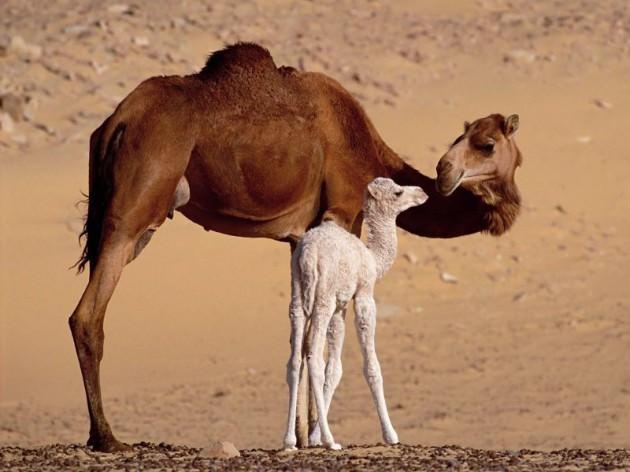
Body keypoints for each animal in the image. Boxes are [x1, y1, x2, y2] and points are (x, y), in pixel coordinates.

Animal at [286, 177, 430, 450]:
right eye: (397, 192)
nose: (422, 192)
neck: (373, 257)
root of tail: (308, 254)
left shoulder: (340, 306)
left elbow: (335, 369)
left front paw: (313, 437)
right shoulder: (363, 295)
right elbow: (371, 366)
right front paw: (390, 435)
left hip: (298, 296)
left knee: (294, 360)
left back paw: (289, 440)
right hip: (322, 298)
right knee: (313, 358)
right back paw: (331, 441)